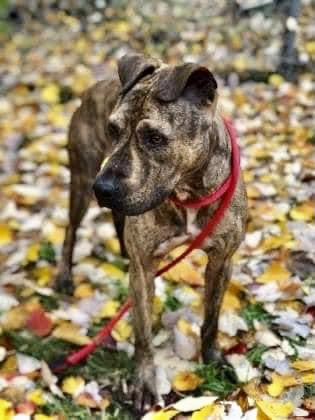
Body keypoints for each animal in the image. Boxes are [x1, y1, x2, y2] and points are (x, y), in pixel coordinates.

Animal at [56, 53, 249, 410]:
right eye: (113, 129)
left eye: (156, 138)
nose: (103, 188)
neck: (187, 191)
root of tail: (93, 86)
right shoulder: (144, 270)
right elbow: (143, 332)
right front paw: (145, 382)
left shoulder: (222, 261)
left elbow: (211, 319)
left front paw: (213, 358)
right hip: (81, 178)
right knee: (71, 231)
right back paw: (64, 275)